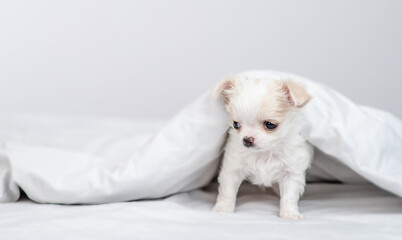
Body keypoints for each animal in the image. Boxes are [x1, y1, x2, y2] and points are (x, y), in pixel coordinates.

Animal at [212, 76, 312, 220]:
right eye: (236, 124)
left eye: (270, 125)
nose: (247, 139)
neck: (264, 153)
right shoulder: (232, 169)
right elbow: (227, 191)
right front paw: (223, 209)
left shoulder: (292, 172)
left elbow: (289, 196)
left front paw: (289, 214)